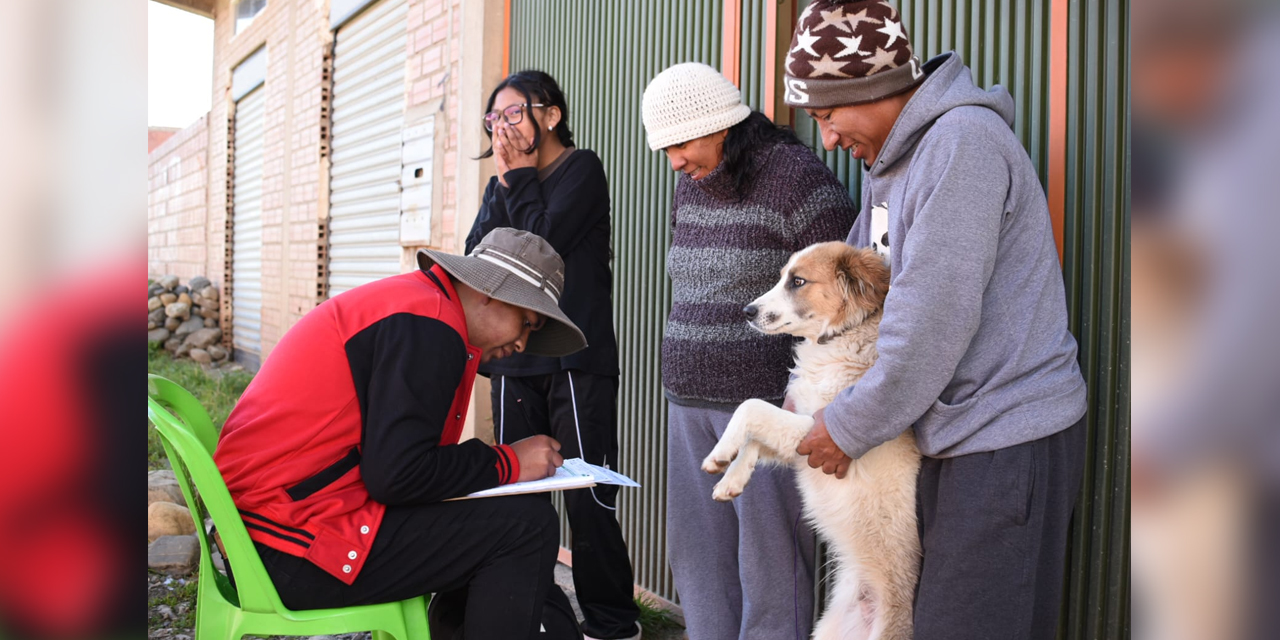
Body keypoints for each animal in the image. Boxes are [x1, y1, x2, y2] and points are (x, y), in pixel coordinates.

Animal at [701, 240, 921, 640]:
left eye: (798, 281)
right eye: (781, 277)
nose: (747, 311)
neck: (840, 338)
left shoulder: (817, 432)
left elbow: (750, 407)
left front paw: (719, 455)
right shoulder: (799, 440)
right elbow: (754, 439)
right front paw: (731, 481)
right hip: (826, 631)